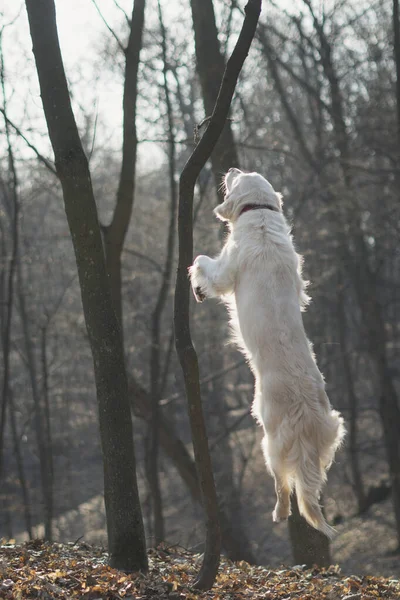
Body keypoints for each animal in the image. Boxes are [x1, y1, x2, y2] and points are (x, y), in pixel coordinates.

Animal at [190, 169, 344, 540]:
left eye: (239, 178)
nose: (231, 169)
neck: (259, 213)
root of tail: (305, 415)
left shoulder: (225, 267)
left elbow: (204, 263)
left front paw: (196, 282)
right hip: (333, 431)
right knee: (311, 483)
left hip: (268, 439)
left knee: (282, 483)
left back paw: (279, 512)